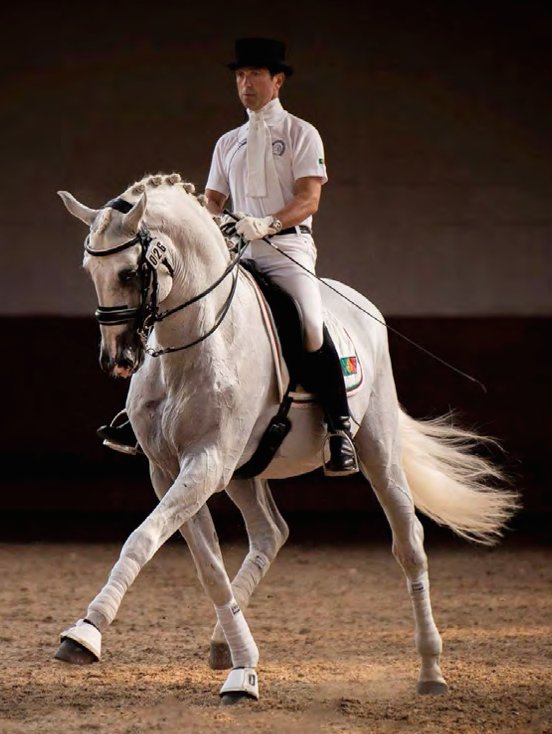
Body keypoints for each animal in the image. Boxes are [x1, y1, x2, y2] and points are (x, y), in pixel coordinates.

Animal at [56, 172, 519, 704]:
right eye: (90, 269)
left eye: (131, 272)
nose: (117, 361)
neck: (195, 340)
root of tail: (361, 305)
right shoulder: (169, 469)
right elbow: (207, 567)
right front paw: (242, 667)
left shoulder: (206, 461)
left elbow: (143, 537)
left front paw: (85, 633)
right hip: (245, 470)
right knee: (271, 533)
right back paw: (224, 644)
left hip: (376, 448)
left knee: (409, 543)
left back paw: (431, 670)